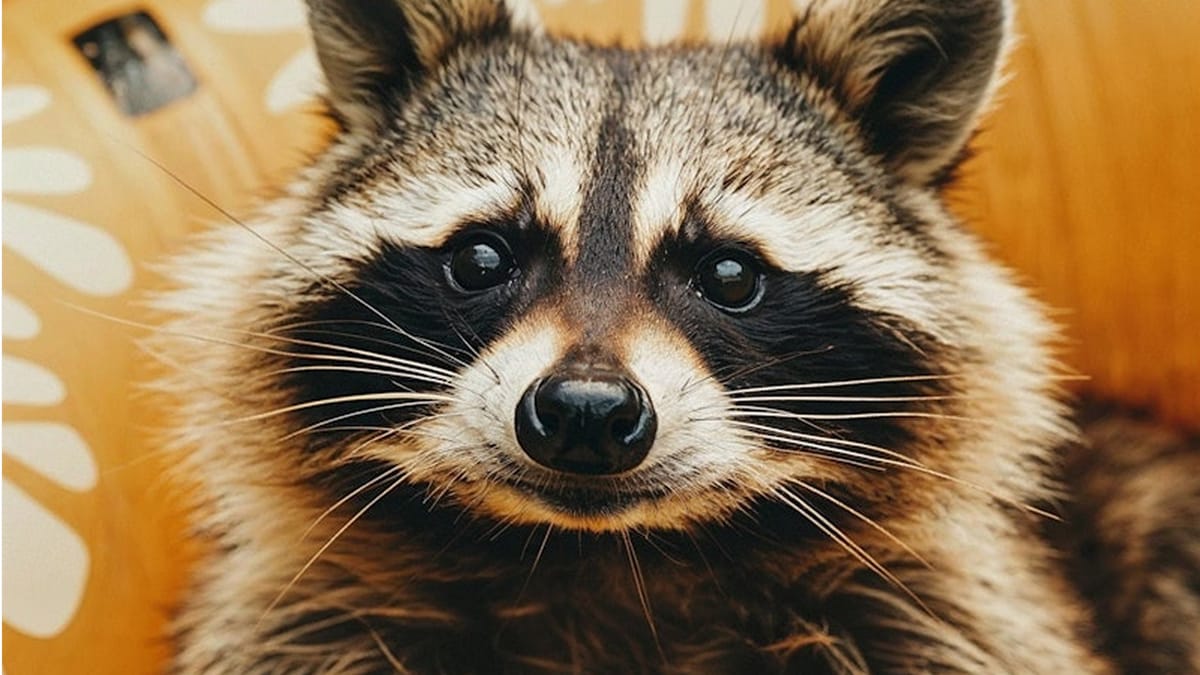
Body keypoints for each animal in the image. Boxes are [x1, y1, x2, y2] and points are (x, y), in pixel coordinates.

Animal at [155, 0, 1196, 673]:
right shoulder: (304, 622)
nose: (583, 411)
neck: (611, 566)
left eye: (729, 276)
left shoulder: (947, 619)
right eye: (484, 257)